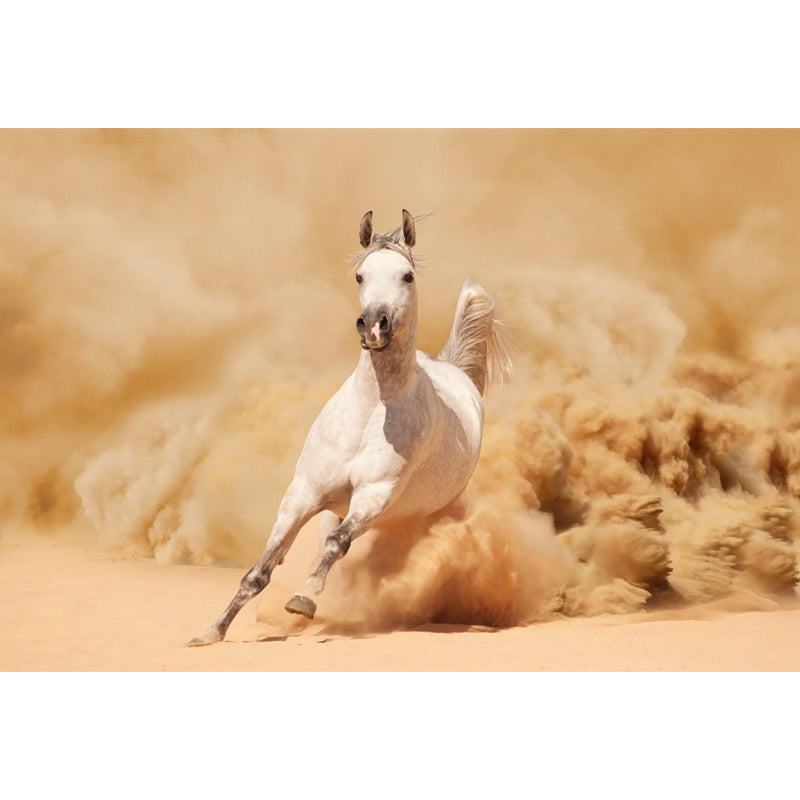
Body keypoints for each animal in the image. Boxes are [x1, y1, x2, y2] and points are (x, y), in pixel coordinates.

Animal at [188, 210, 511, 645]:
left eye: (407, 276)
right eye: (360, 275)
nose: (374, 324)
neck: (371, 413)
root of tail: (454, 369)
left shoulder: (373, 495)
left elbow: (337, 544)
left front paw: (302, 600)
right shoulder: (303, 494)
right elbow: (261, 570)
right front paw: (211, 632)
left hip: (417, 513)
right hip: (334, 505)